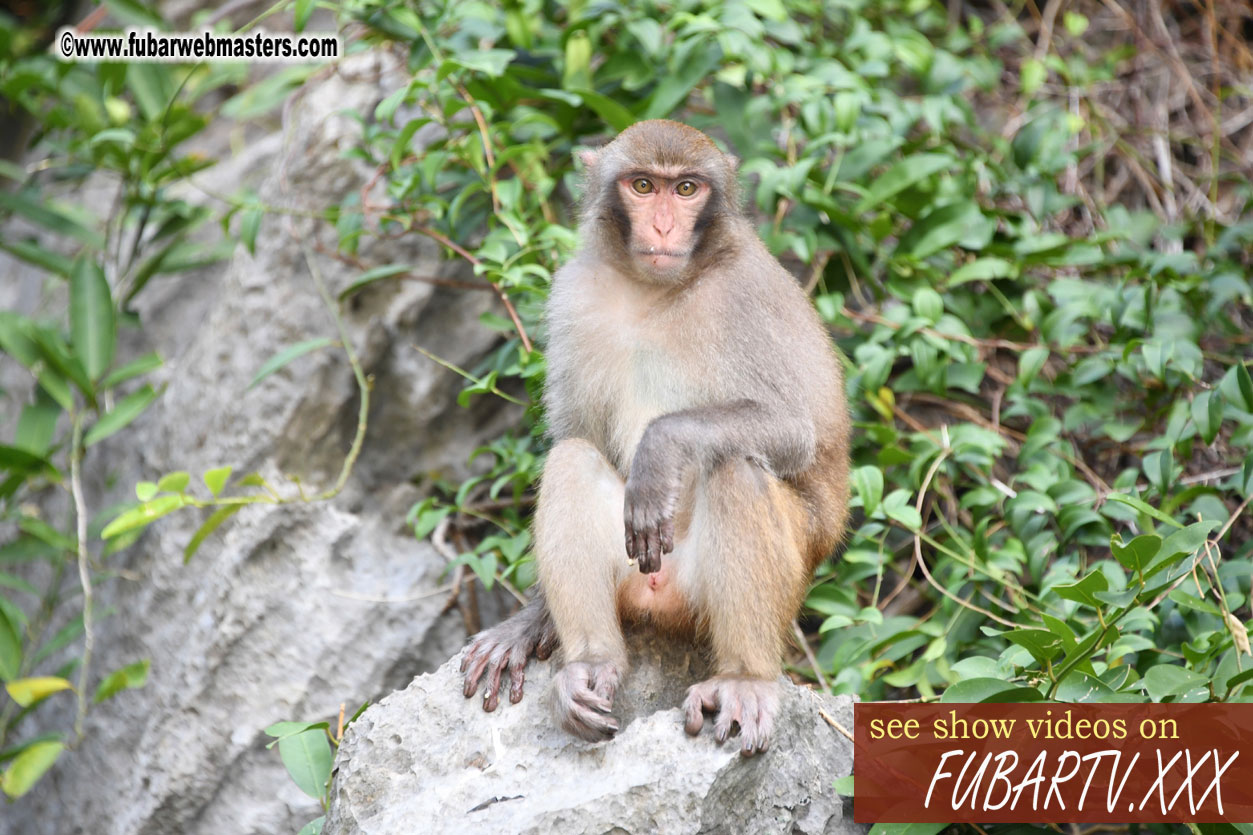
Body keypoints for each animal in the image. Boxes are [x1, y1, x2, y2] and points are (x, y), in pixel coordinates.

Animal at [461, 118, 852, 752]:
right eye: (643, 186)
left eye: (686, 189)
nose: (665, 225)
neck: (654, 291)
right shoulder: (574, 293)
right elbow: (577, 432)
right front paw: (532, 620)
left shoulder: (747, 295)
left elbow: (795, 430)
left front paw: (660, 450)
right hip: (632, 575)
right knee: (572, 458)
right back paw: (591, 665)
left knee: (735, 466)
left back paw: (744, 680)